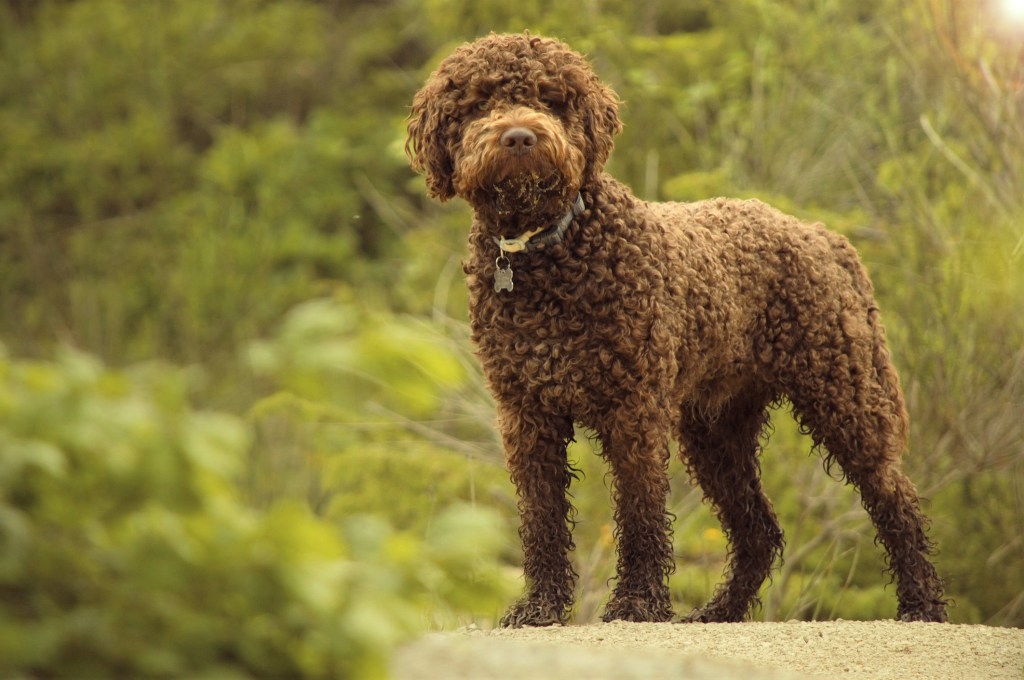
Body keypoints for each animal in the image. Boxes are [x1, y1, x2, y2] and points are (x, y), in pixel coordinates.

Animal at [403, 33, 946, 626]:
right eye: (479, 103)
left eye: (552, 100)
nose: (520, 136)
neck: (550, 254)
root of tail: (821, 234)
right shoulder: (527, 414)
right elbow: (542, 518)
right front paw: (541, 606)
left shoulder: (634, 408)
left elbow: (640, 512)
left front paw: (637, 602)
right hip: (716, 431)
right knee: (759, 530)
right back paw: (721, 612)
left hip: (843, 395)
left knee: (895, 499)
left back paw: (922, 603)